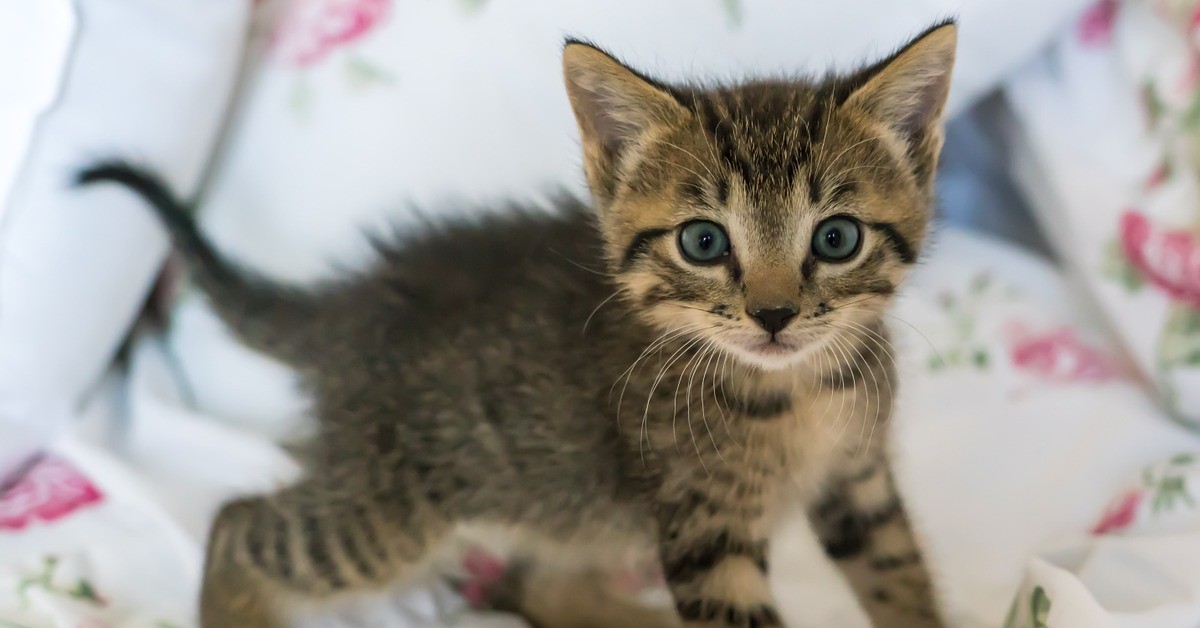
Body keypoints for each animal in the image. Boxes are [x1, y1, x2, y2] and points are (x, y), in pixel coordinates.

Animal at [77, 19, 955, 628]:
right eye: (704, 242)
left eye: (835, 239)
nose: (773, 314)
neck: (797, 390)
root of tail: (357, 301)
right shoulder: (706, 529)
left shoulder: (859, 482)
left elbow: (903, 577)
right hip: (389, 509)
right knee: (239, 525)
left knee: (540, 579)